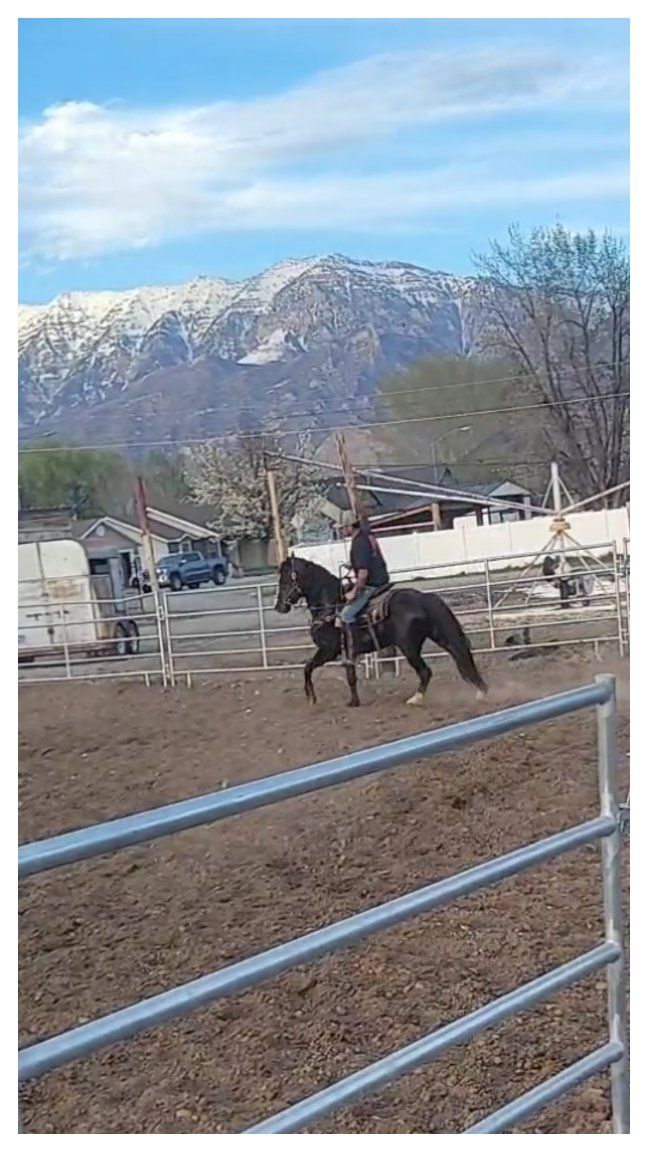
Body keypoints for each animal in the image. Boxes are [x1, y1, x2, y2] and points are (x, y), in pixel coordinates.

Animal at [274, 555, 487, 708]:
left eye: (284, 580)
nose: (279, 607)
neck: (330, 606)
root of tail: (425, 598)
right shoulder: (347, 652)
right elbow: (348, 676)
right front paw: (353, 701)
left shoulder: (329, 650)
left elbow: (308, 668)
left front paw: (312, 698)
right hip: (440, 635)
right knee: (460, 655)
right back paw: (481, 691)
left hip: (408, 647)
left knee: (426, 671)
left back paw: (415, 699)